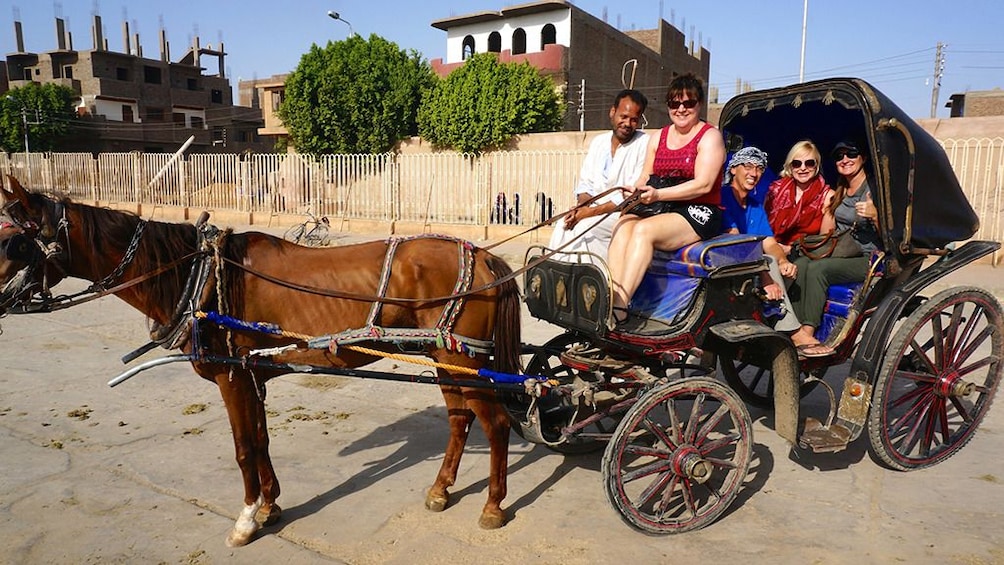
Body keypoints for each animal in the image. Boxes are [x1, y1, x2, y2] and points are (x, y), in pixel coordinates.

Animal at [0, 177, 518, 549]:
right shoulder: (251, 375)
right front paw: (270, 507)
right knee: (459, 419)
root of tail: (484, 257)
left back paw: (493, 506)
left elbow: (244, 448)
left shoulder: (230, 374)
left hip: (458, 357)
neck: (201, 276)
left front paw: (246, 519)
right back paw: (441, 490)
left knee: (494, 424)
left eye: (15, 244)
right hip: (449, 360)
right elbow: (262, 441)